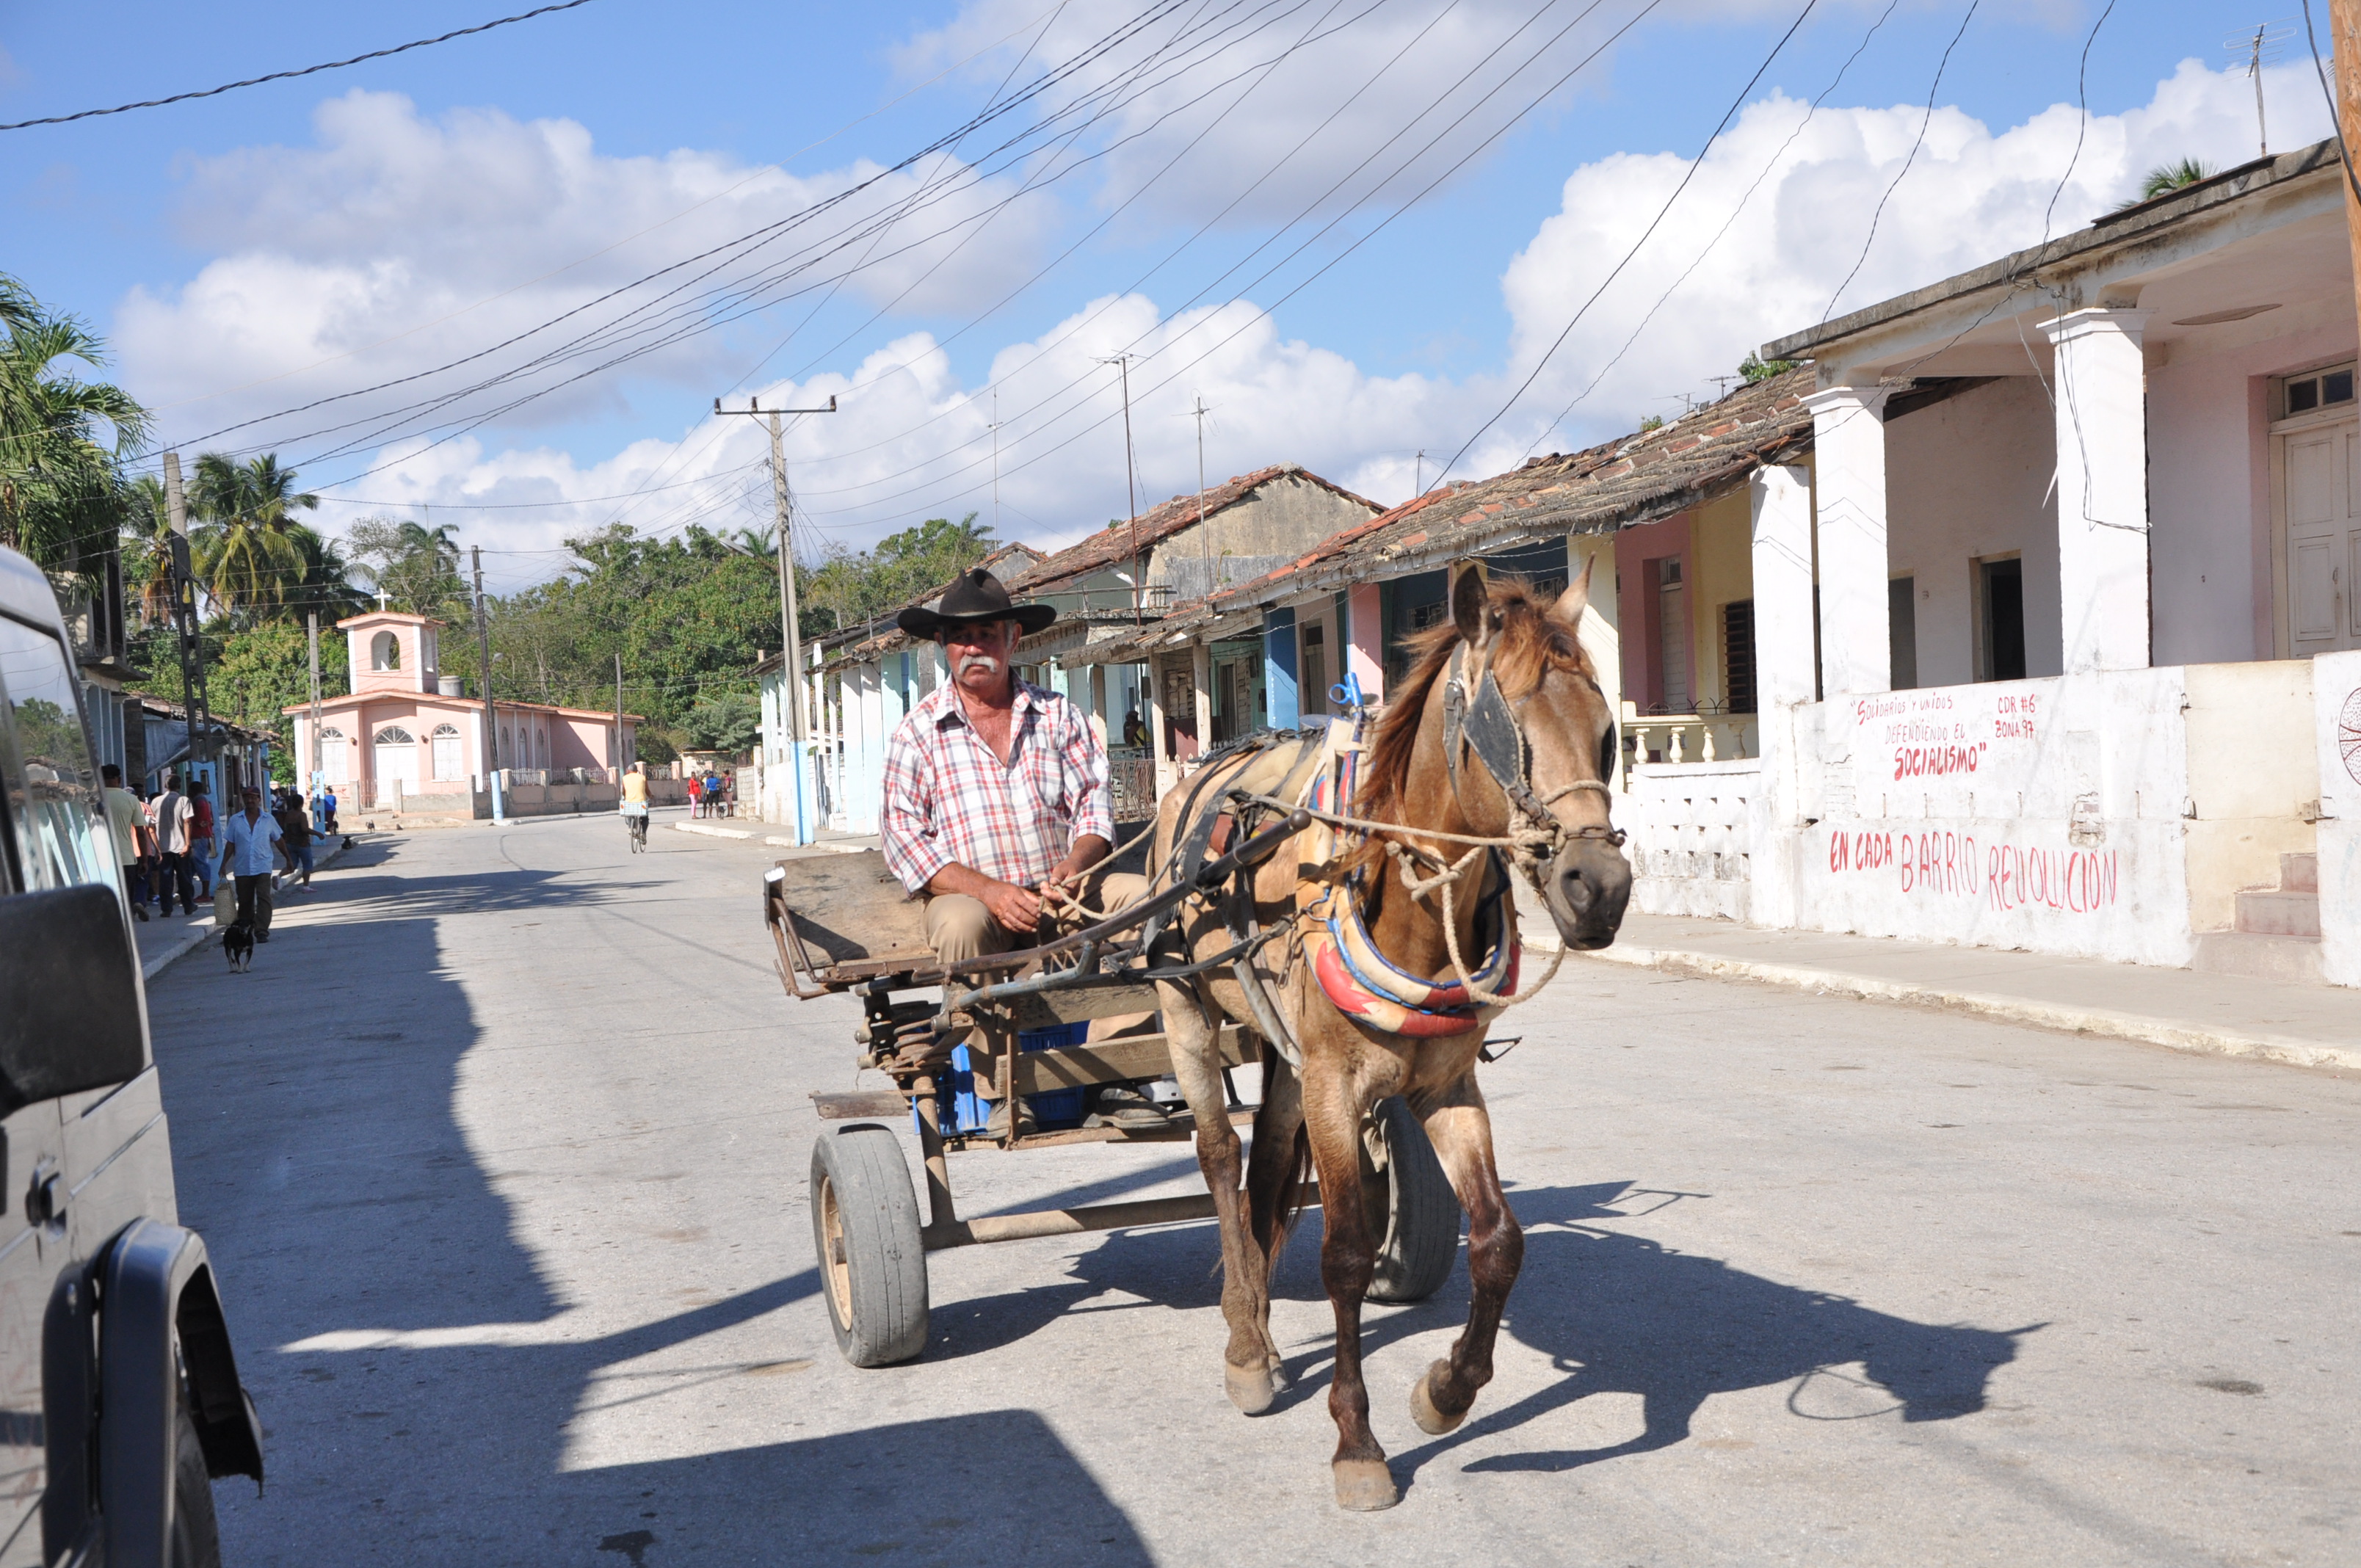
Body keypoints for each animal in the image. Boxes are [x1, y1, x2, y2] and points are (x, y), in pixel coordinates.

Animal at [1147, 559, 1633, 1511]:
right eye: (1505, 733)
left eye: (1606, 734)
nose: (1598, 887)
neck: (1397, 893)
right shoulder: (1337, 1085)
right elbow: (1344, 1252)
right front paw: (1357, 1443)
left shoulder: (1444, 1085)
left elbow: (1498, 1240)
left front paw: (1445, 1391)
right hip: (1185, 1006)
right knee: (1221, 1157)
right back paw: (1245, 1342)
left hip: (1288, 1053)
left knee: (1267, 1167)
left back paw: (1263, 1326)